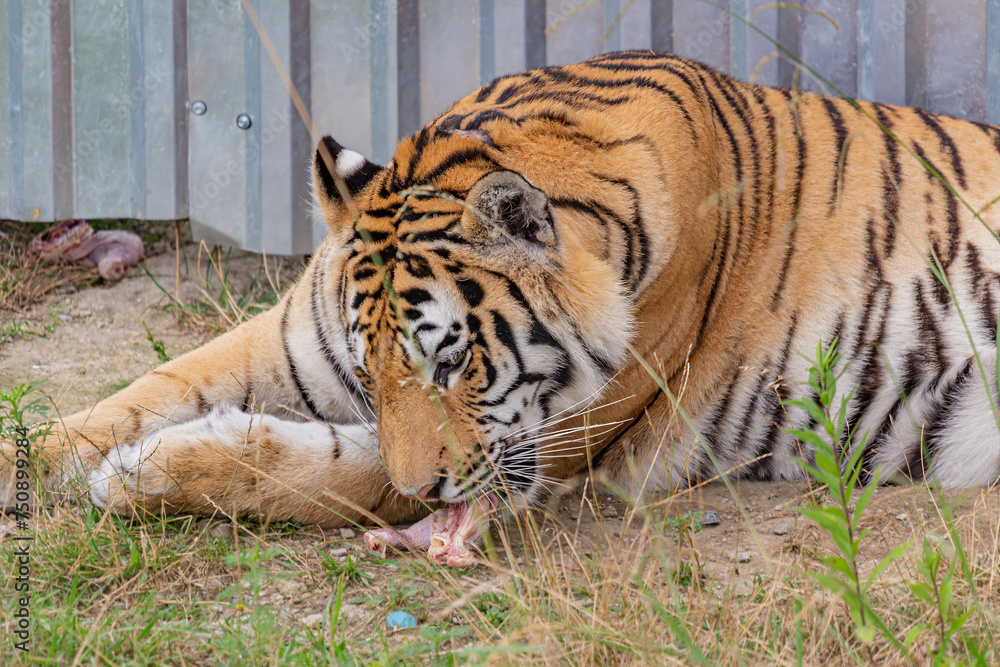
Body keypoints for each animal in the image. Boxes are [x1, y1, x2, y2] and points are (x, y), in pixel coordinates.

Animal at [4, 51, 1000, 565]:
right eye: (367, 369)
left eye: (451, 361)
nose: (426, 496)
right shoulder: (289, 341)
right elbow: (147, 389)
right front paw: (52, 458)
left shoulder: (556, 439)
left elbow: (342, 474)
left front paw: (145, 474)